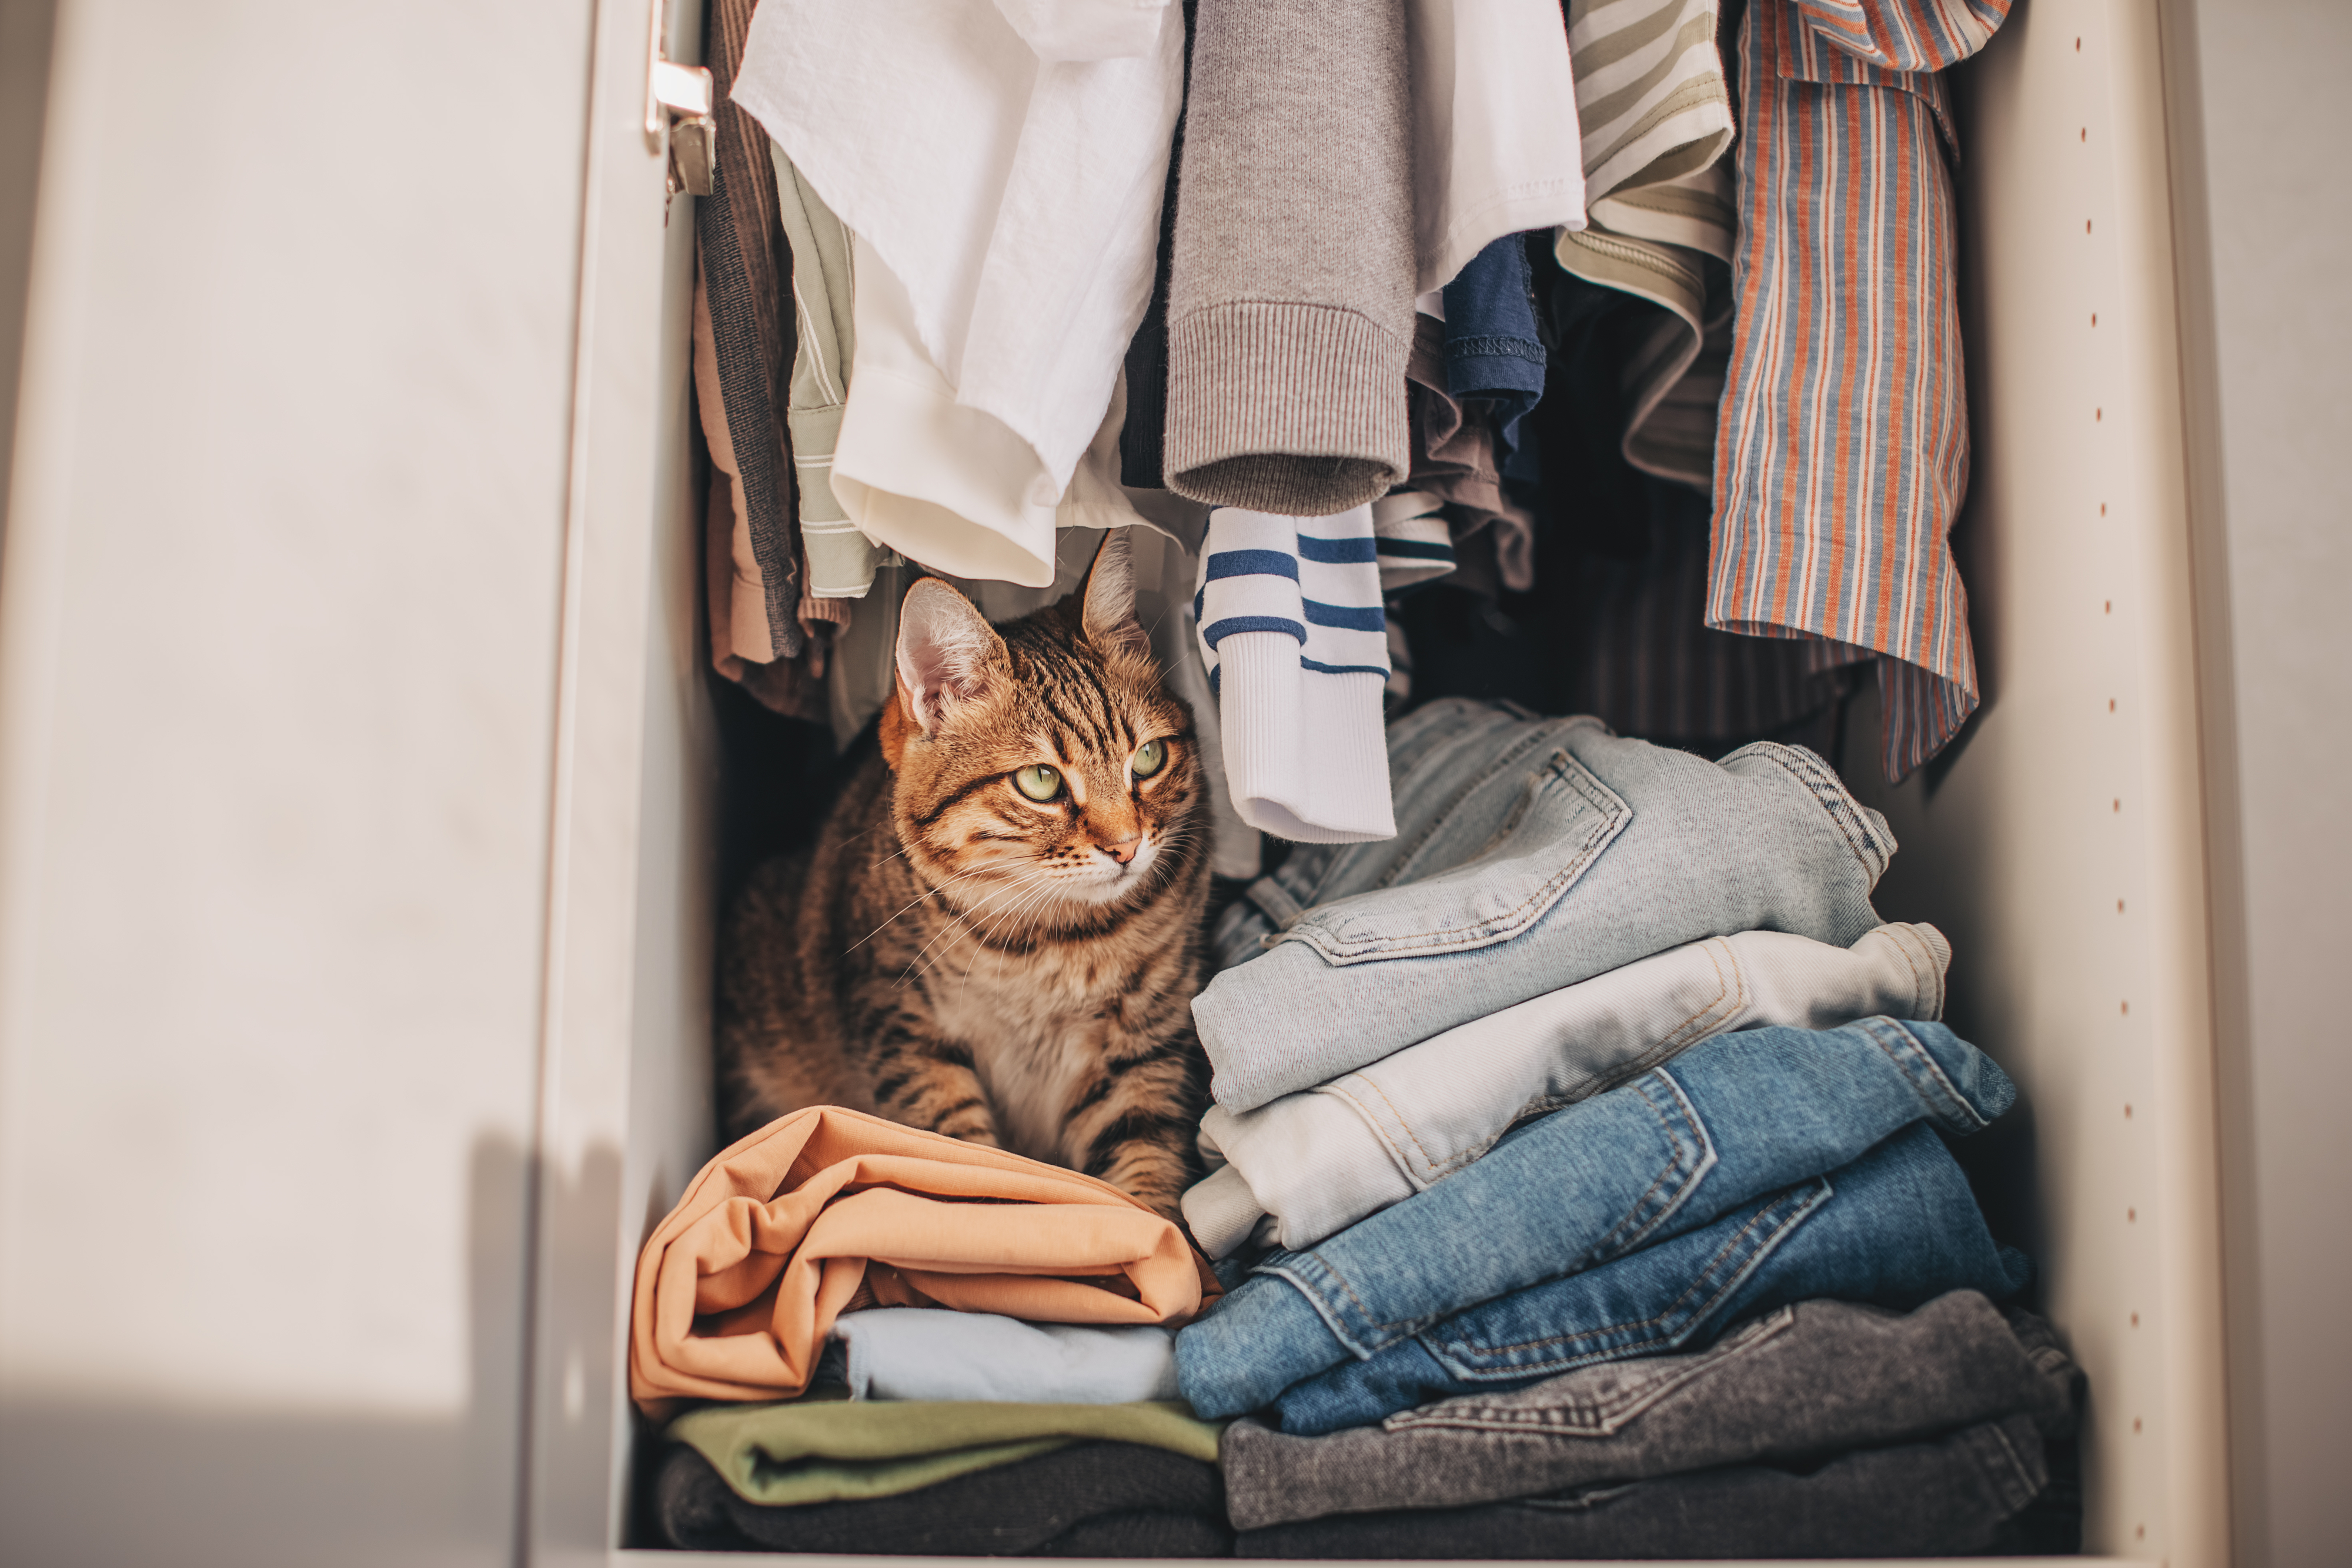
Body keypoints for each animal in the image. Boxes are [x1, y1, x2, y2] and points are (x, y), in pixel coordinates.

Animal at [715, 533, 1214, 1222]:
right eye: (1041, 780)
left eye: (1148, 758)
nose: (1127, 847)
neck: (1058, 945)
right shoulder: (905, 1029)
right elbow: (961, 1160)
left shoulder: (1143, 1046)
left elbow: (1145, 1167)